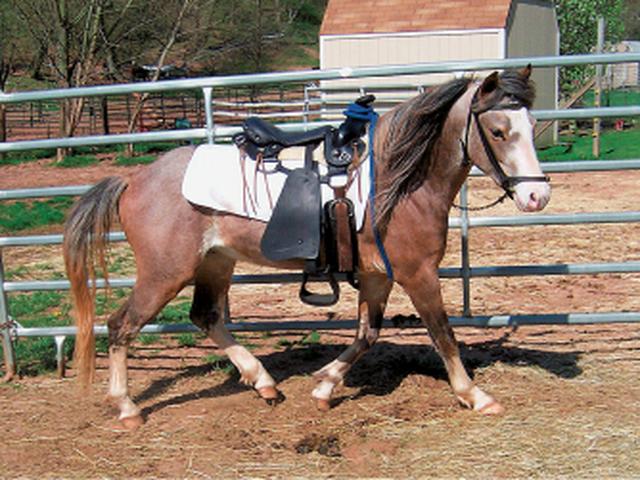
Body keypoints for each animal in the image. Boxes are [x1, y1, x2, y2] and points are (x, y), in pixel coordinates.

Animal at [63, 65, 550, 429]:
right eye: (499, 131)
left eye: (531, 124)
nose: (537, 196)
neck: (399, 183)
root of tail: (134, 178)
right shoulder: (418, 275)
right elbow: (443, 335)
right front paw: (476, 395)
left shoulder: (377, 276)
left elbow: (367, 334)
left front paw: (324, 385)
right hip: (165, 273)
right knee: (121, 325)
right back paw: (127, 407)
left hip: (215, 263)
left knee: (206, 317)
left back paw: (263, 381)